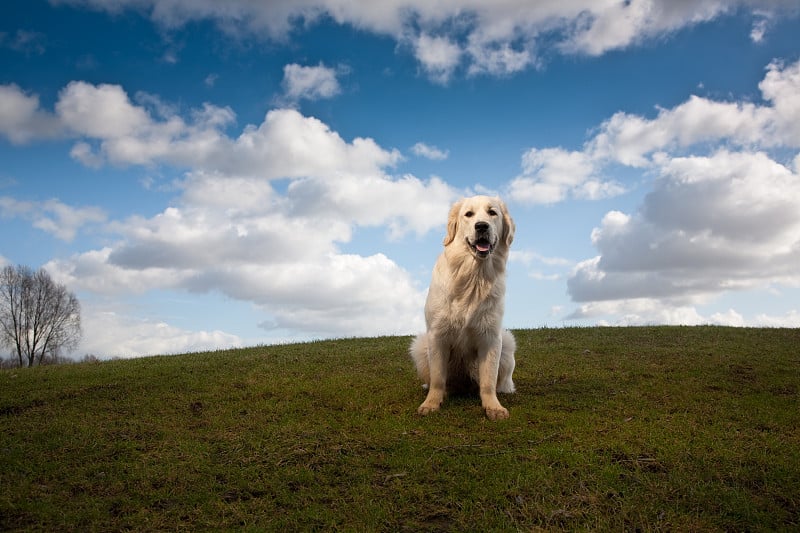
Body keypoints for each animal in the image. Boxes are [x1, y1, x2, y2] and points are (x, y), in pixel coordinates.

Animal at [410, 195, 516, 420]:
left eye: (492, 213)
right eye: (469, 214)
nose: (482, 226)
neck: (473, 276)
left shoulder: (491, 337)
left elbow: (488, 381)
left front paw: (493, 407)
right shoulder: (437, 335)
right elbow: (438, 378)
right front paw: (431, 403)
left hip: (507, 342)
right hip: (420, 346)